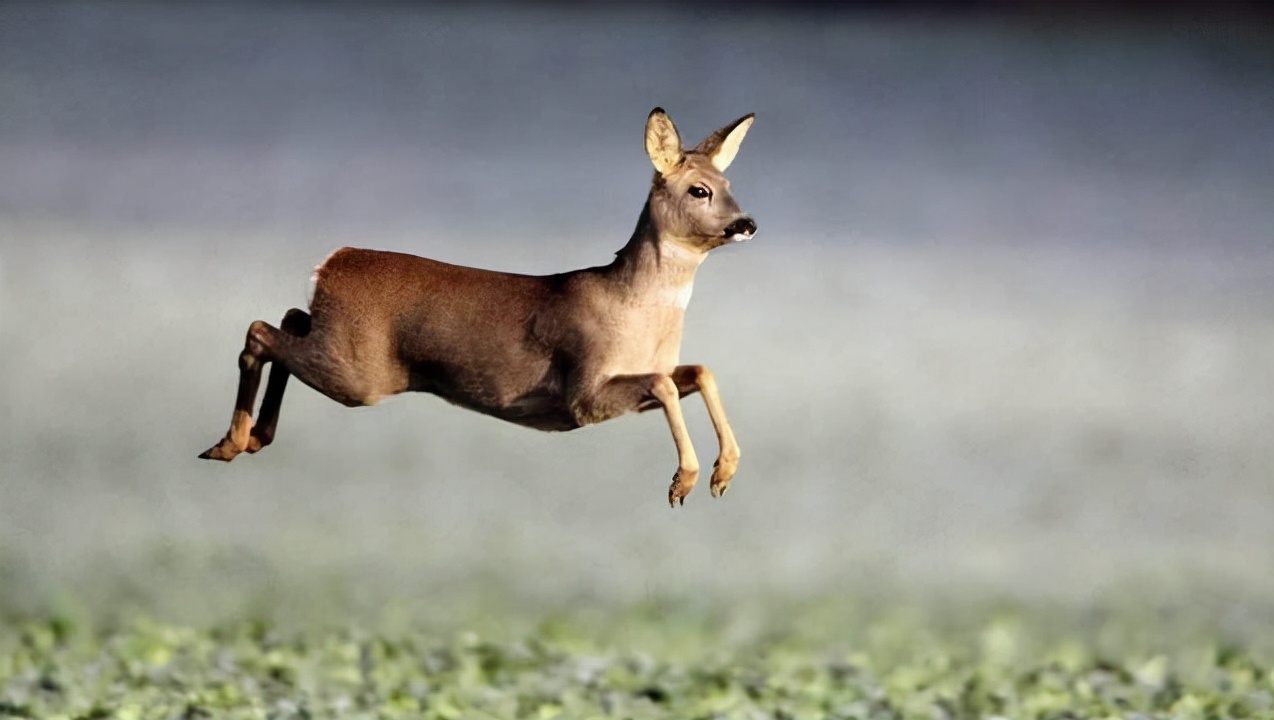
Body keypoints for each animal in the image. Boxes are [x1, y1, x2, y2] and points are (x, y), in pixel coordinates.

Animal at [198, 109, 754, 507]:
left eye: (730, 186)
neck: (633, 305)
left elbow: (698, 371)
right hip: (359, 371)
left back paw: (251, 438)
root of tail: (331, 262)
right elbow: (664, 383)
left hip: (339, 346)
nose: (746, 223)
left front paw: (723, 473)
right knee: (259, 331)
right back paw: (230, 441)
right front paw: (684, 481)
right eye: (699, 189)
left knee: (286, 320)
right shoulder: (583, 391)